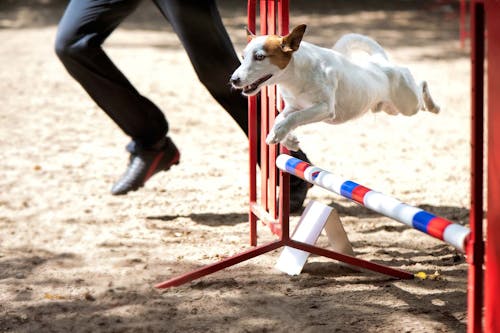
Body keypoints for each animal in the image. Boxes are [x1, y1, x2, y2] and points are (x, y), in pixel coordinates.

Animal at [229, 24, 440, 150]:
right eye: (243, 56)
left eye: (260, 57)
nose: (233, 80)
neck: (294, 76)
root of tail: (380, 61)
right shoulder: (294, 105)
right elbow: (281, 117)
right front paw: (288, 139)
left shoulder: (324, 108)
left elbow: (295, 118)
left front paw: (277, 134)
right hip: (390, 109)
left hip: (408, 104)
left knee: (421, 85)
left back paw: (434, 105)